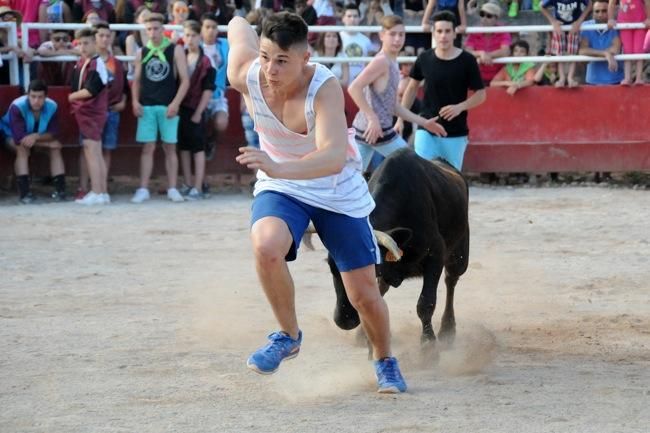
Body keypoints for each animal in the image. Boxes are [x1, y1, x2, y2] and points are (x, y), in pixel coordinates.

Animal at [326, 148, 468, 344]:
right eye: (331, 268)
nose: (344, 320)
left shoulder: (436, 254)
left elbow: (426, 302)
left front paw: (428, 343)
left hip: (459, 255)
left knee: (451, 280)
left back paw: (448, 329)